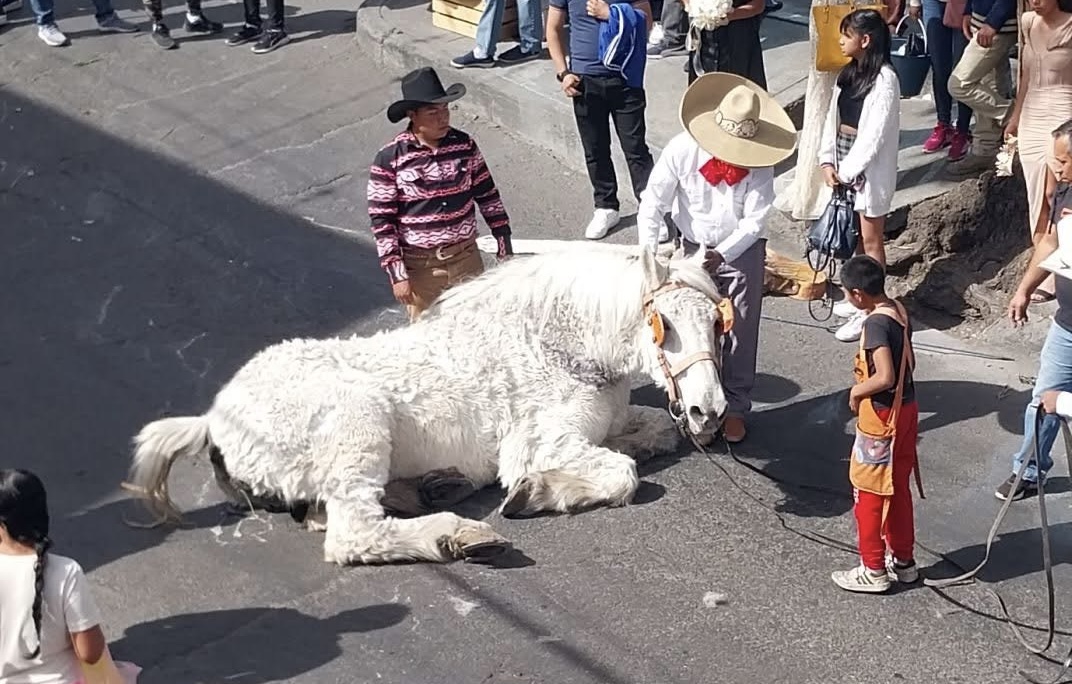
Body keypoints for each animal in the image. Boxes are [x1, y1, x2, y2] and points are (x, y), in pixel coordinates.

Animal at [123, 244, 728, 566]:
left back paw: (436, 488)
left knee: (322, 514)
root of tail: (213, 420)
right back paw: (456, 532)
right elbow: (622, 473)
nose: (711, 411)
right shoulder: (538, 443)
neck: (555, 344)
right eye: (664, 323)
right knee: (351, 533)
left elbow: (654, 433)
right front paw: (533, 494)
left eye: (717, 321)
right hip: (356, 425)